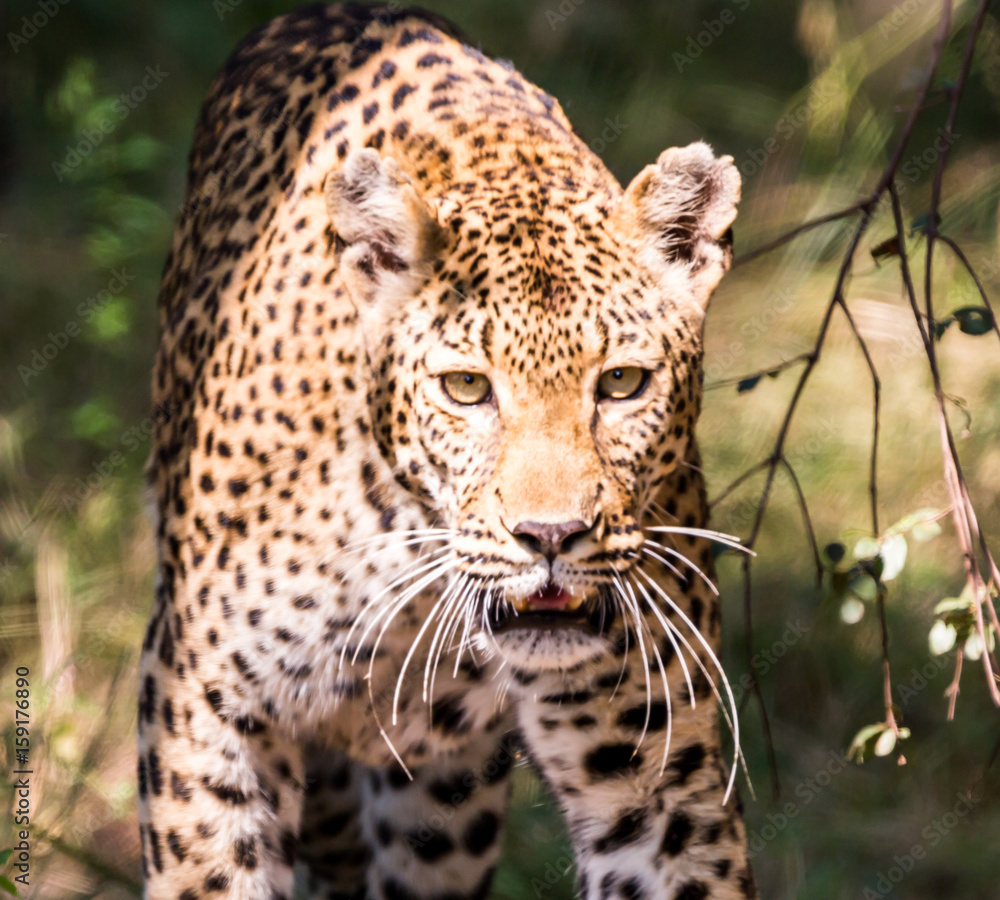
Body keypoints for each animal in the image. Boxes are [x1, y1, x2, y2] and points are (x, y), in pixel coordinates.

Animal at [138, 4, 756, 899]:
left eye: (622, 383)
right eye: (467, 388)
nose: (550, 538)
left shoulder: (661, 781)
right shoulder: (203, 706)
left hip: (442, 804)